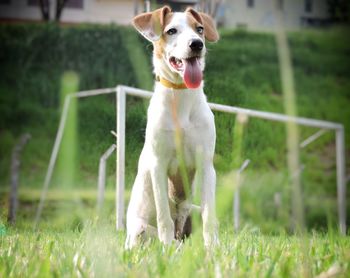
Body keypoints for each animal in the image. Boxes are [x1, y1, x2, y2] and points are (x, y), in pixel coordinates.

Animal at [125, 5, 219, 249]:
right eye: (171, 31)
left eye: (200, 29)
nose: (197, 44)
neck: (181, 98)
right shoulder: (158, 164)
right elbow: (163, 217)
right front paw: (166, 249)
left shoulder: (206, 164)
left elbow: (210, 216)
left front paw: (213, 249)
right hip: (139, 230)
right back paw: (172, 246)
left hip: (192, 210)